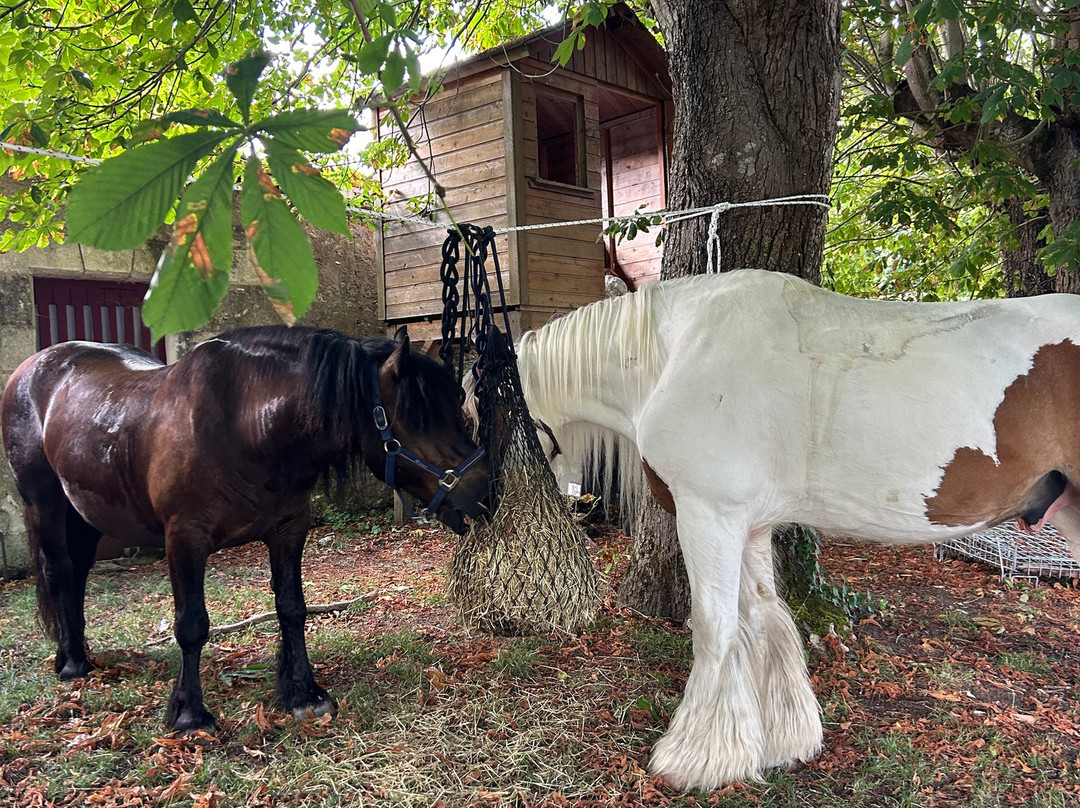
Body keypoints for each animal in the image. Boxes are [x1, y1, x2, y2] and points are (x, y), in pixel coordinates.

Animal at [1, 325, 489, 735]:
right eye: (418, 419)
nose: (487, 490)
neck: (244, 423)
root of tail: (35, 366)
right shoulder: (185, 539)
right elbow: (192, 624)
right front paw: (190, 715)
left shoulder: (289, 530)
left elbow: (292, 608)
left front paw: (302, 693)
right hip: (45, 503)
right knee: (60, 571)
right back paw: (72, 665)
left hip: (85, 512)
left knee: (78, 576)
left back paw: (77, 654)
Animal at [514, 268, 1080, 790]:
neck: (676, 354)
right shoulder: (748, 524)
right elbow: (762, 620)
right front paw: (779, 744)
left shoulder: (709, 515)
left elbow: (715, 630)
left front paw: (693, 761)